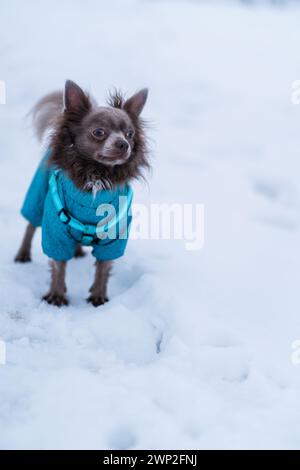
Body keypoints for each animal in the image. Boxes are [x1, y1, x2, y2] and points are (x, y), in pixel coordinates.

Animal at [14, 80, 149, 308]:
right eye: (99, 132)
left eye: (130, 134)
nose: (124, 144)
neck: (96, 176)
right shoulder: (55, 233)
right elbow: (58, 265)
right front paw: (56, 296)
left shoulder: (113, 239)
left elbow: (103, 268)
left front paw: (98, 297)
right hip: (37, 197)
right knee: (30, 225)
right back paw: (23, 255)